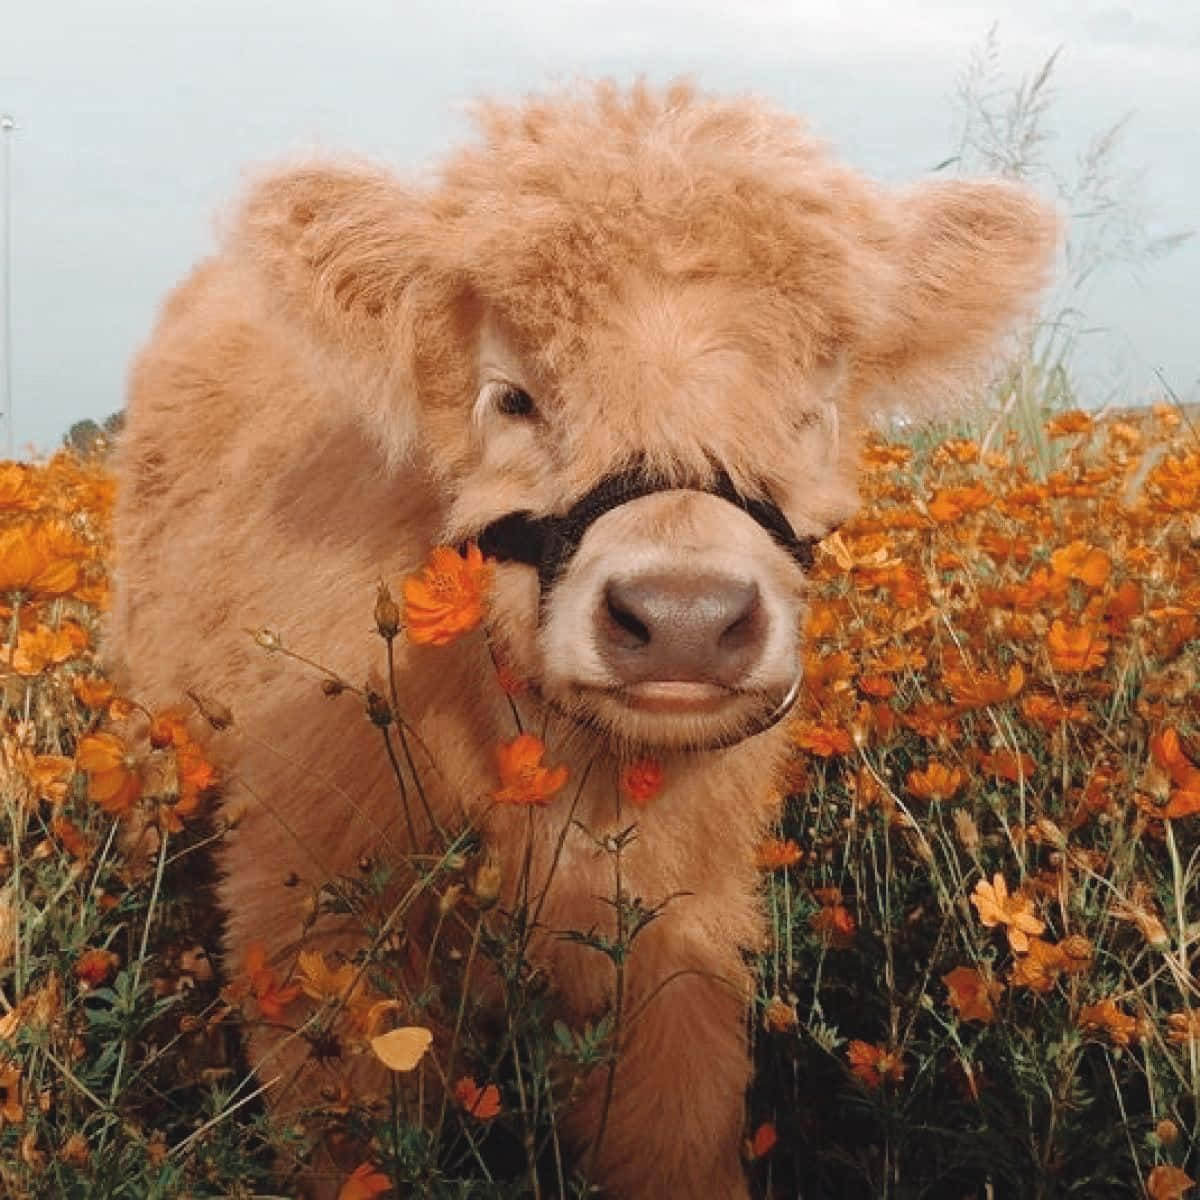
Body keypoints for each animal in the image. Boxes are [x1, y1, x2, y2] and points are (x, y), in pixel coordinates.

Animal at [108, 79, 1056, 1195]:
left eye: (813, 409)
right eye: (513, 397)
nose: (685, 621)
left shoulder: (678, 932)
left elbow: (670, 1127)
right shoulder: (307, 911)